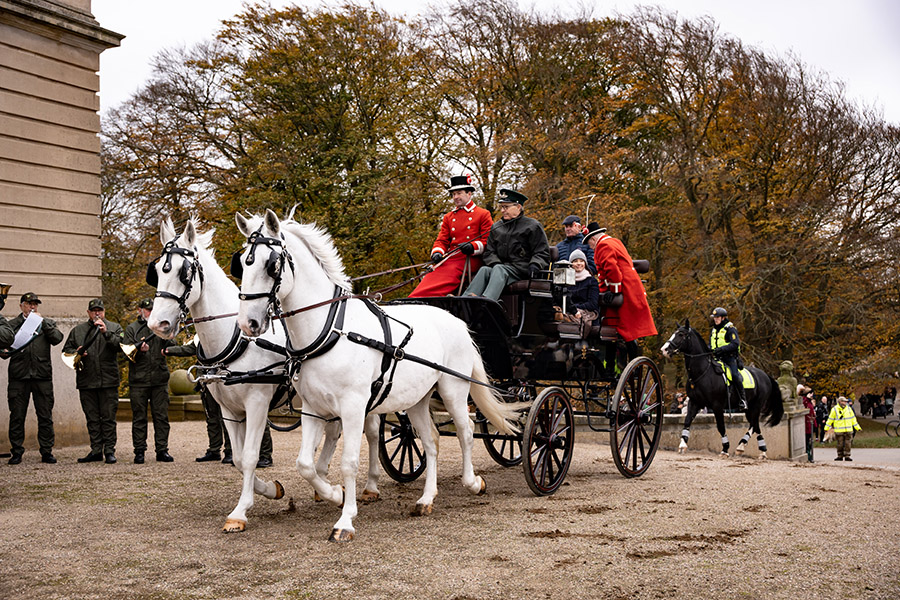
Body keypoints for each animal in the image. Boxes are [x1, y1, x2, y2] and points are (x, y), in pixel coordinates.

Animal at [145, 218, 384, 532]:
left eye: (184, 272)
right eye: (157, 271)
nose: (157, 324)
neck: (234, 339)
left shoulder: (257, 402)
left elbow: (249, 457)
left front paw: (241, 510)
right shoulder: (229, 409)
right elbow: (237, 458)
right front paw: (271, 489)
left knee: (372, 431)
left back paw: (369, 486)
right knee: (333, 432)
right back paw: (325, 483)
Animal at [236, 211, 524, 544]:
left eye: (272, 264)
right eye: (242, 262)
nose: (248, 322)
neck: (331, 330)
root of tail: (456, 319)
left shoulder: (353, 407)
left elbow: (348, 463)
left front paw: (345, 519)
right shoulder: (313, 409)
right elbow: (305, 464)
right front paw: (334, 493)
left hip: (454, 389)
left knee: (465, 434)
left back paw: (472, 482)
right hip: (418, 400)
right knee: (432, 441)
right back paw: (426, 498)